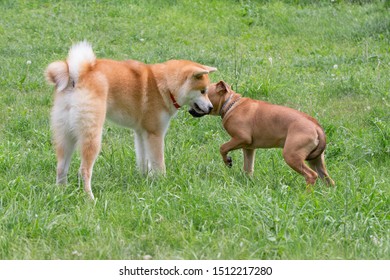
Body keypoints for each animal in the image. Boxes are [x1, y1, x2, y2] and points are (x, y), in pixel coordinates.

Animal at [46, 41, 216, 199]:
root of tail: (78, 74)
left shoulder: (141, 133)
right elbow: (158, 162)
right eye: (203, 91)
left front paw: (145, 179)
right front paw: (163, 182)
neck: (166, 85)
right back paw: (90, 198)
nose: (211, 107)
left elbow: (143, 160)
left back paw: (61, 192)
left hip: (66, 136)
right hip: (92, 136)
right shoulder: (155, 133)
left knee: (61, 167)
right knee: (84, 170)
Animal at [204, 80, 336, 187]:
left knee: (311, 175)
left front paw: (227, 161)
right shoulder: (249, 148)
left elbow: (223, 148)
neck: (230, 104)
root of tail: (316, 125)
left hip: (292, 156)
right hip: (316, 160)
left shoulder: (241, 139)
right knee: (328, 180)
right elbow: (248, 168)